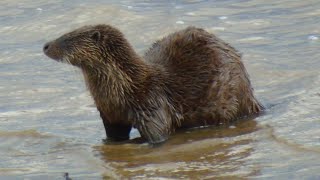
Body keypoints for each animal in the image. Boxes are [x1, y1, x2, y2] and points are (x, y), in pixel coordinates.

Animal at [42, 24, 262, 144]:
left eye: (67, 38)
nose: (45, 45)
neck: (124, 89)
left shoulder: (153, 107)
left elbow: (159, 134)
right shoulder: (109, 115)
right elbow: (114, 134)